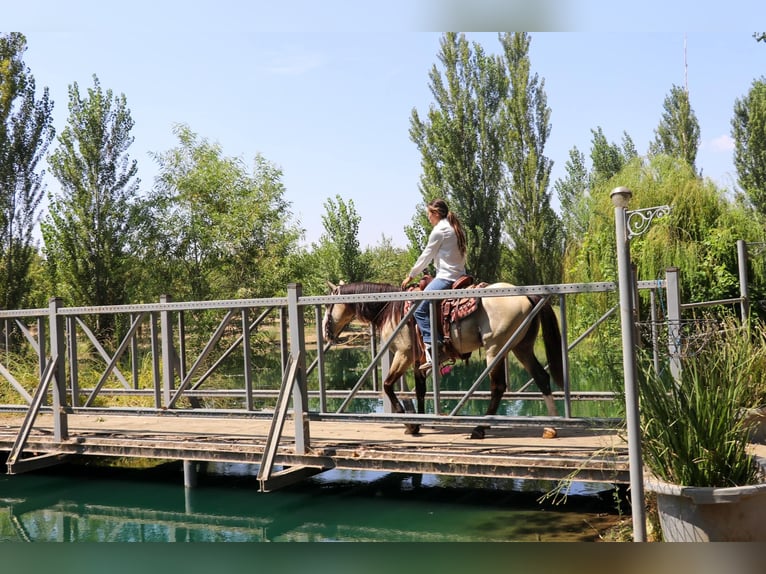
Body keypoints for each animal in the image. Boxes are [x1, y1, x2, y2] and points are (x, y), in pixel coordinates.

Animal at [322, 281, 564, 439]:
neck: (392, 307)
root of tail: (527, 295)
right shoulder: (417, 360)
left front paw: (409, 424)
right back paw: (551, 427)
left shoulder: (403, 354)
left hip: (495, 349)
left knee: (498, 387)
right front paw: (418, 422)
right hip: (521, 347)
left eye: (327, 304)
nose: (326, 334)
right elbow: (420, 391)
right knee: (541, 377)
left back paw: (480, 428)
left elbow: (388, 385)